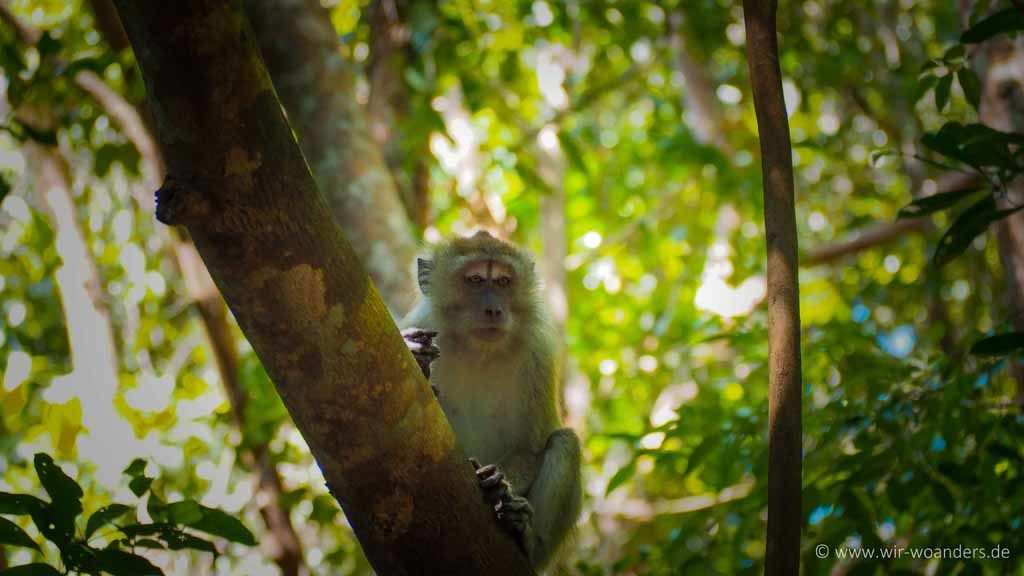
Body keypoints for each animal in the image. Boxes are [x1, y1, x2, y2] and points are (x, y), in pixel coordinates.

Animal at [401, 229, 585, 569]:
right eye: (474, 280)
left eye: (502, 281)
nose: (494, 310)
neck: (479, 349)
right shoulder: (420, 322)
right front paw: (418, 357)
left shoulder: (539, 351)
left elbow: (531, 447)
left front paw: (497, 485)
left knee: (565, 442)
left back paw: (526, 539)